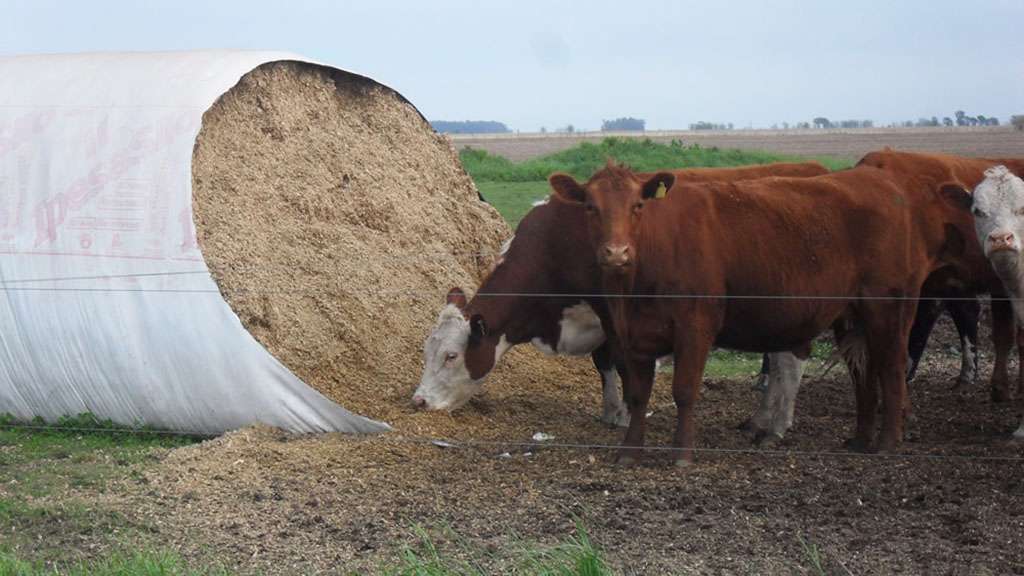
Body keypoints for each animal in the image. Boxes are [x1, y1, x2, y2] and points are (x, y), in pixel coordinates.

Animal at [552, 159, 974, 461]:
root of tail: (880, 181)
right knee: (864, 374)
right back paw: (859, 439)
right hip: (852, 315)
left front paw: (682, 453)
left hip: (889, 307)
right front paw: (629, 451)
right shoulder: (635, 334)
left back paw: (886, 443)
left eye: (638, 205)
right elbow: (638, 394)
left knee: (891, 366)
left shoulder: (695, 326)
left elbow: (684, 390)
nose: (616, 253)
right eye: (590, 207)